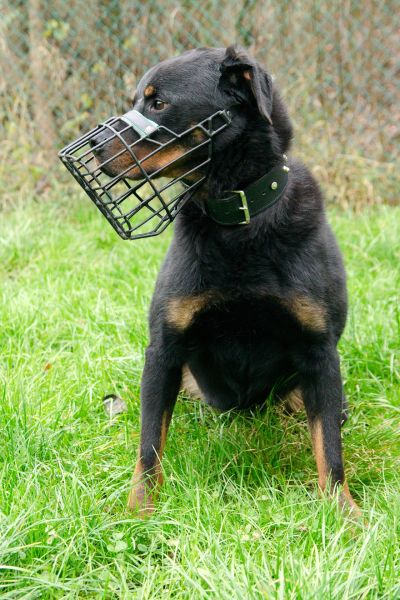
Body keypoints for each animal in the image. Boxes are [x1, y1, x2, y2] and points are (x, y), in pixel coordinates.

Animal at [95, 45, 360, 517]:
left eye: (158, 103)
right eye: (136, 100)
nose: (91, 146)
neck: (238, 219)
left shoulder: (319, 351)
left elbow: (330, 448)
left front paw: (344, 514)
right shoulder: (164, 349)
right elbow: (149, 444)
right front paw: (139, 512)